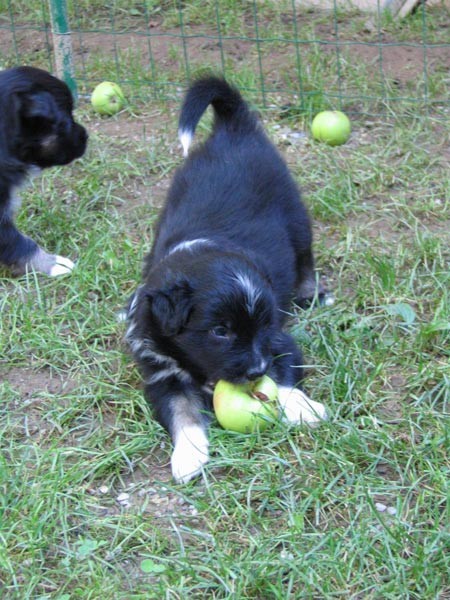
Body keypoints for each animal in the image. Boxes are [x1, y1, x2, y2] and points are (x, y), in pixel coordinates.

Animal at [126, 76, 326, 482]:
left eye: (262, 324)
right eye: (220, 331)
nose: (256, 371)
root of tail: (233, 128)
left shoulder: (278, 340)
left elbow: (286, 379)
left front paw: (304, 410)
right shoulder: (159, 372)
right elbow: (181, 411)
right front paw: (189, 455)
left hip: (296, 215)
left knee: (305, 255)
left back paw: (310, 293)